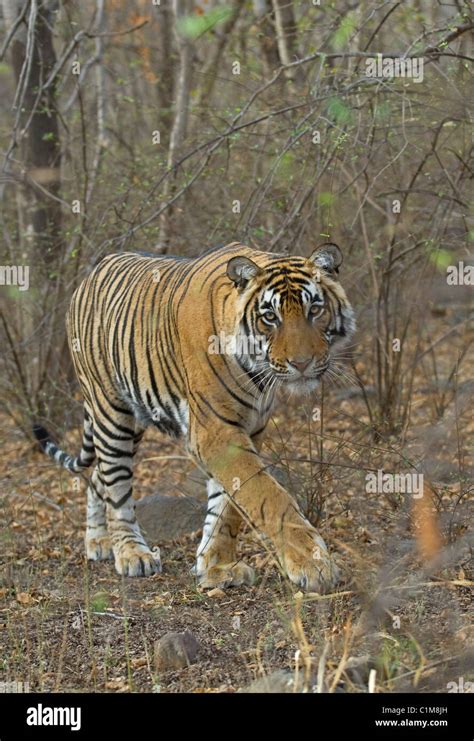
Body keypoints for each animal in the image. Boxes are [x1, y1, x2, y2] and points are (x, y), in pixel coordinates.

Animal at [34, 241, 356, 588]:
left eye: (315, 310)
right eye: (270, 317)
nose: (301, 363)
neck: (256, 372)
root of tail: (93, 271)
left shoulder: (249, 428)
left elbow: (227, 505)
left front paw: (216, 566)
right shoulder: (215, 431)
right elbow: (268, 496)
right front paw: (313, 564)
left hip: (135, 418)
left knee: (99, 476)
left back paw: (98, 541)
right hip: (110, 411)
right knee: (116, 485)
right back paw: (132, 553)